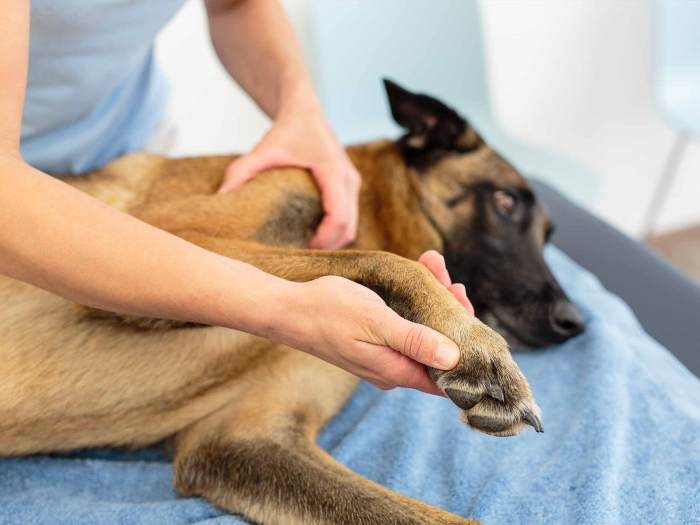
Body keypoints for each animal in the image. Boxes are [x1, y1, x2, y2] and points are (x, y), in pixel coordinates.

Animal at [0, 80, 584, 520]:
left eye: (550, 236)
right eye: (505, 202)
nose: (574, 322)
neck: (368, 209)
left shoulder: (245, 436)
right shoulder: (164, 233)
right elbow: (389, 261)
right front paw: (474, 346)